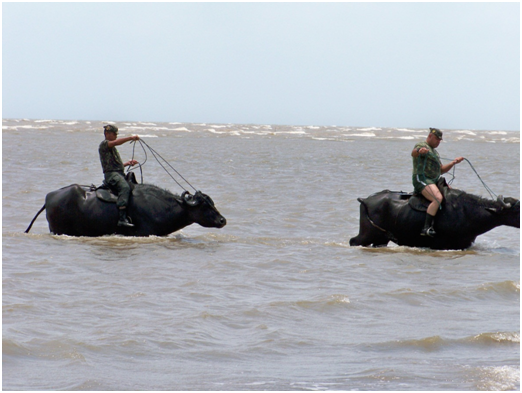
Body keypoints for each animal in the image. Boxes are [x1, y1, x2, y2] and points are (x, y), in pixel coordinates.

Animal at [348, 178, 516, 250]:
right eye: (516, 209)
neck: (468, 211)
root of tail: (365, 200)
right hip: (367, 234)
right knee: (353, 241)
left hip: (381, 239)